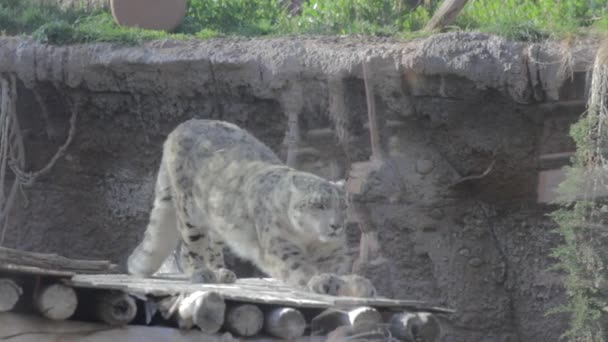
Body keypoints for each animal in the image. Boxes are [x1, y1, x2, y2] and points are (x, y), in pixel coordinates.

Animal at [127, 119, 376, 296]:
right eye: (318, 204)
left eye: (343, 206)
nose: (336, 226)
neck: (310, 240)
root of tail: (181, 127)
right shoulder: (281, 245)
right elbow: (301, 267)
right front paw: (322, 281)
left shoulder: (331, 252)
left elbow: (337, 268)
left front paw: (355, 283)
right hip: (190, 212)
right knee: (190, 247)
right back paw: (201, 273)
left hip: (219, 220)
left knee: (213, 246)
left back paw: (222, 273)